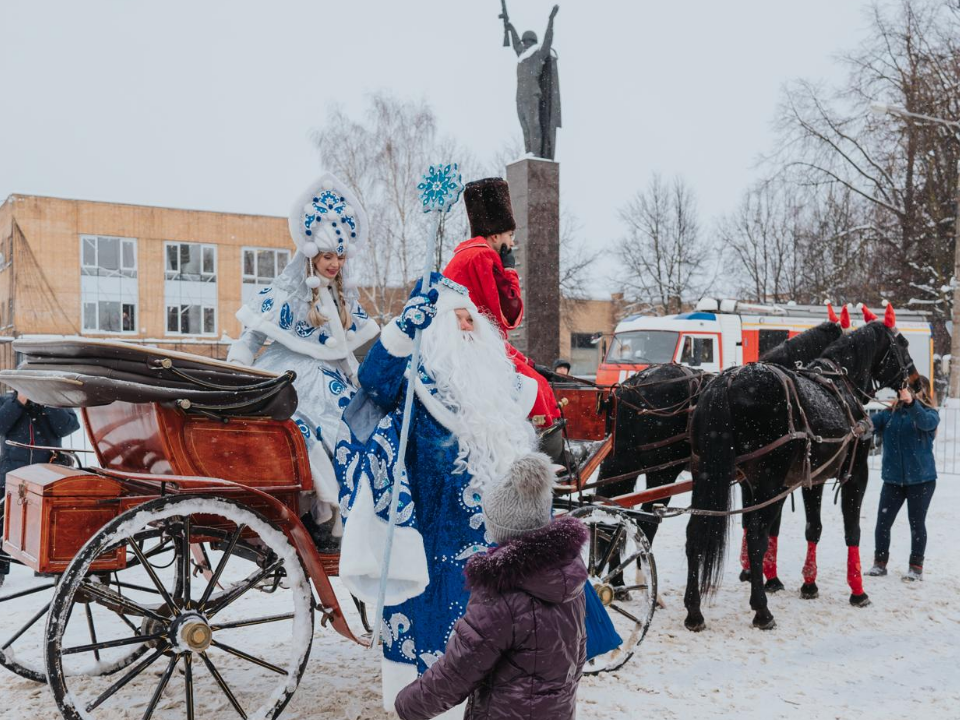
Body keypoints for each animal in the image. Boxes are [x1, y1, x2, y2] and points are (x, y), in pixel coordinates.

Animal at [688, 320, 920, 632]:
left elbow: (814, 528)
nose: (917, 383)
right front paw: (857, 590)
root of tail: (728, 381)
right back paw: (762, 610)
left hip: (707, 475)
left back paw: (694, 611)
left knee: (695, 533)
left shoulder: (813, 479)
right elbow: (853, 531)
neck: (842, 385)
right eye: (902, 345)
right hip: (768, 482)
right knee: (757, 537)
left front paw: (809, 583)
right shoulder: (856, 475)